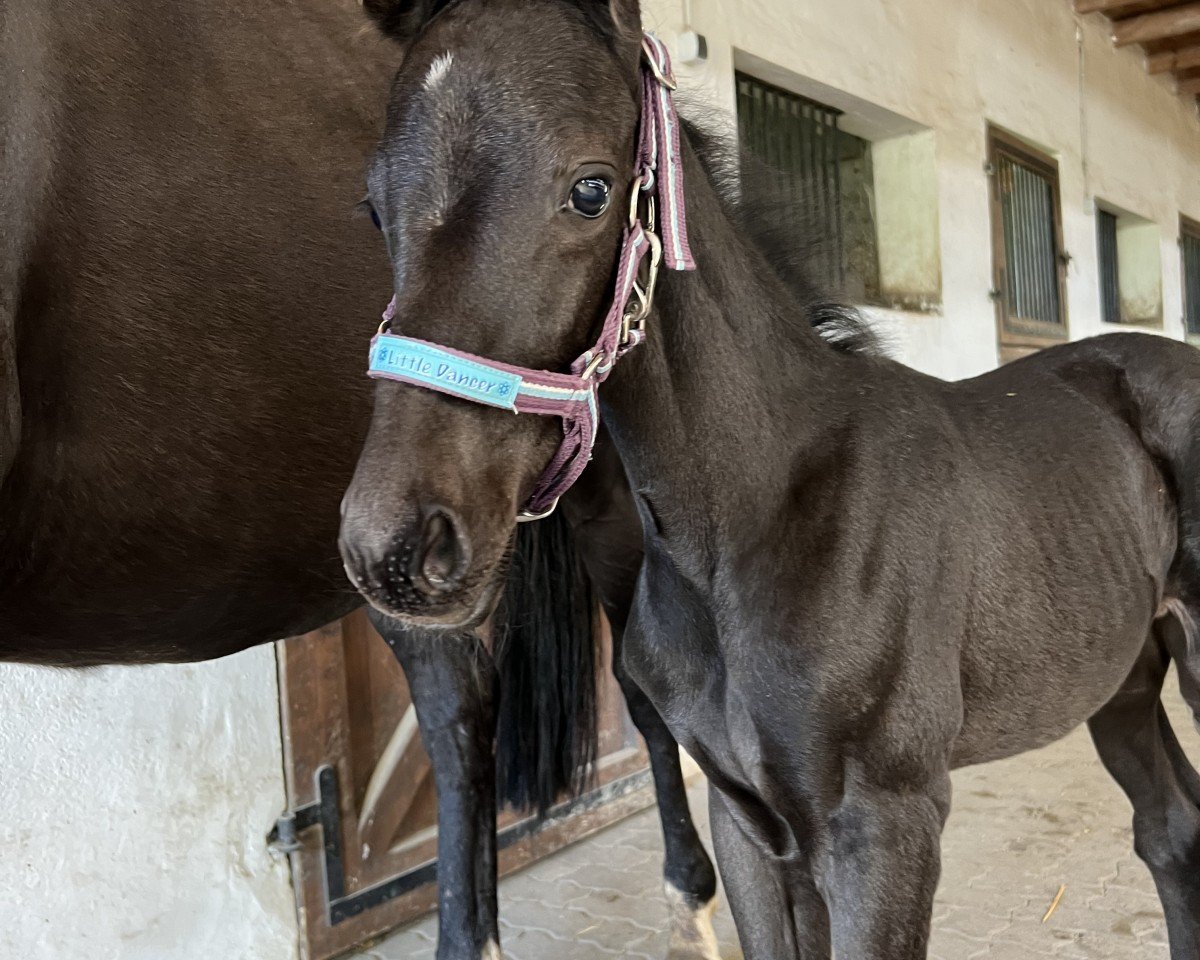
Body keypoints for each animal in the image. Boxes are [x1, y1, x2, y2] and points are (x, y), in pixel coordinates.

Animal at [0, 2, 720, 958]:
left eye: (593, 190)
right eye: (372, 212)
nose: (395, 539)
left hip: (586, 514)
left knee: (633, 694)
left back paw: (690, 902)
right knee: (458, 716)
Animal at [338, 1, 1200, 957]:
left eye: (590, 189)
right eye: (373, 207)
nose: (396, 548)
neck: (755, 517)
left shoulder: (885, 829)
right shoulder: (748, 822)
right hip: (1124, 676)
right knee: (1172, 830)